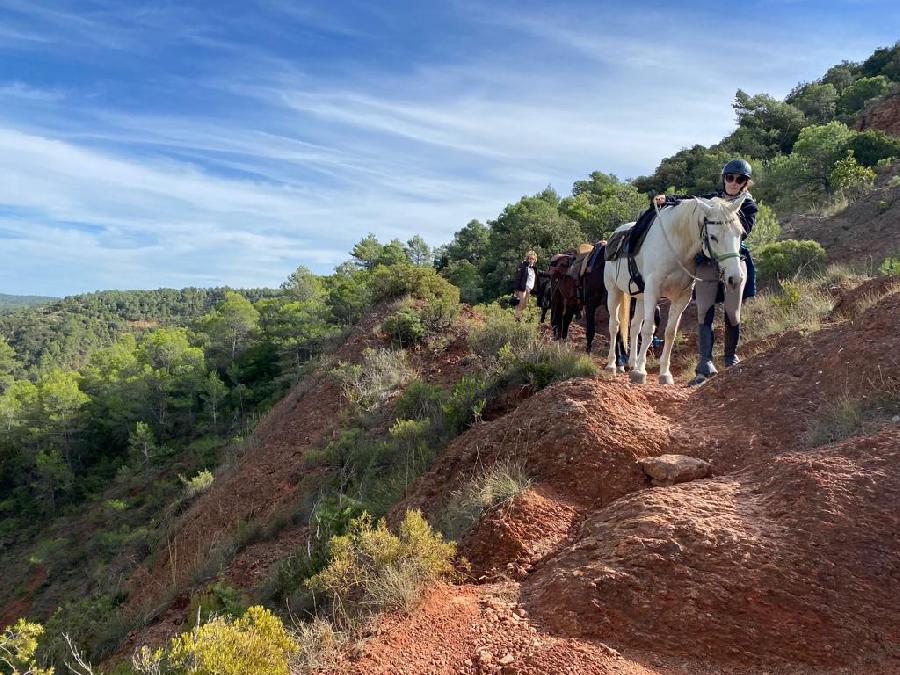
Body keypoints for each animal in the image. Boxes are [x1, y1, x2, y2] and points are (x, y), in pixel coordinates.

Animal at [604, 197, 744, 386]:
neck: (676, 245)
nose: (735, 278)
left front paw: (664, 374)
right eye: (713, 237)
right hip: (614, 292)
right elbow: (648, 330)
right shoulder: (653, 290)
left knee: (634, 326)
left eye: (740, 233)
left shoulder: (681, 297)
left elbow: (670, 333)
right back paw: (612, 365)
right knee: (614, 325)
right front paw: (640, 372)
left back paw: (632, 362)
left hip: (641, 297)